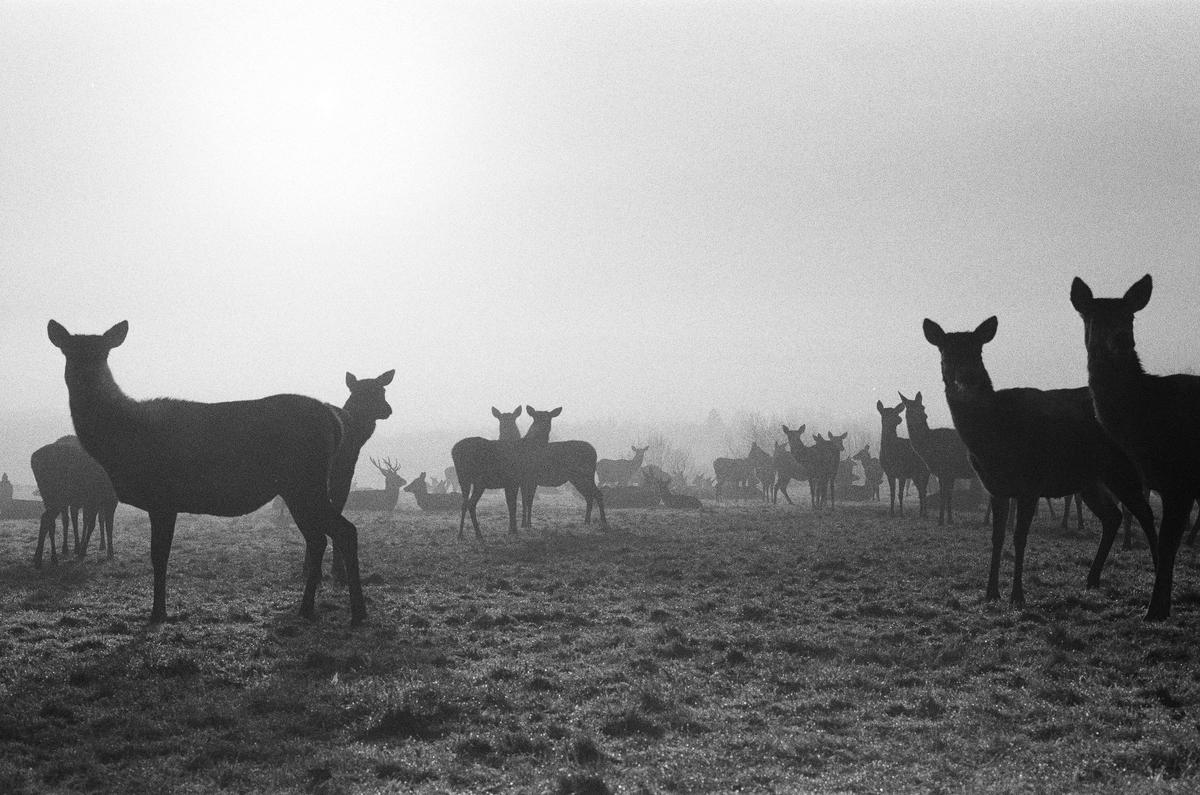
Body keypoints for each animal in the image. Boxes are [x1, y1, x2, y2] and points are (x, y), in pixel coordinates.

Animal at [46, 320, 366, 626]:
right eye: (69, 352)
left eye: (103, 353)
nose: (85, 377)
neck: (121, 443)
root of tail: (335, 422)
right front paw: (160, 610)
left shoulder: (163, 497)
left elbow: (159, 556)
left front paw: (158, 613)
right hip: (297, 487)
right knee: (319, 538)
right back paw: (308, 609)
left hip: (306, 481)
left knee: (343, 531)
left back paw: (357, 612)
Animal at [897, 391, 977, 524]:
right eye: (909, 409)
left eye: (922, 407)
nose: (923, 416)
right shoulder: (947, 473)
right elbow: (948, 495)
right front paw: (949, 520)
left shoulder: (944, 470)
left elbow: (943, 495)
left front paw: (940, 521)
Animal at [923, 315, 1158, 607]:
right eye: (945, 353)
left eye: (978, 351)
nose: (967, 379)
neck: (992, 438)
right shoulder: (995, 486)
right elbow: (997, 537)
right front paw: (991, 593)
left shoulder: (1031, 482)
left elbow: (1019, 537)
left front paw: (1017, 596)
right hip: (1090, 479)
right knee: (1112, 516)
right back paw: (1092, 579)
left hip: (1123, 468)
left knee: (1145, 514)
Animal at [1070, 274, 1200, 620]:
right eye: (1094, 316)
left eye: (1130, 317)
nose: (1122, 340)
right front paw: (1161, 606)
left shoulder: (1180, 478)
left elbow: (1168, 544)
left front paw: (1155, 610)